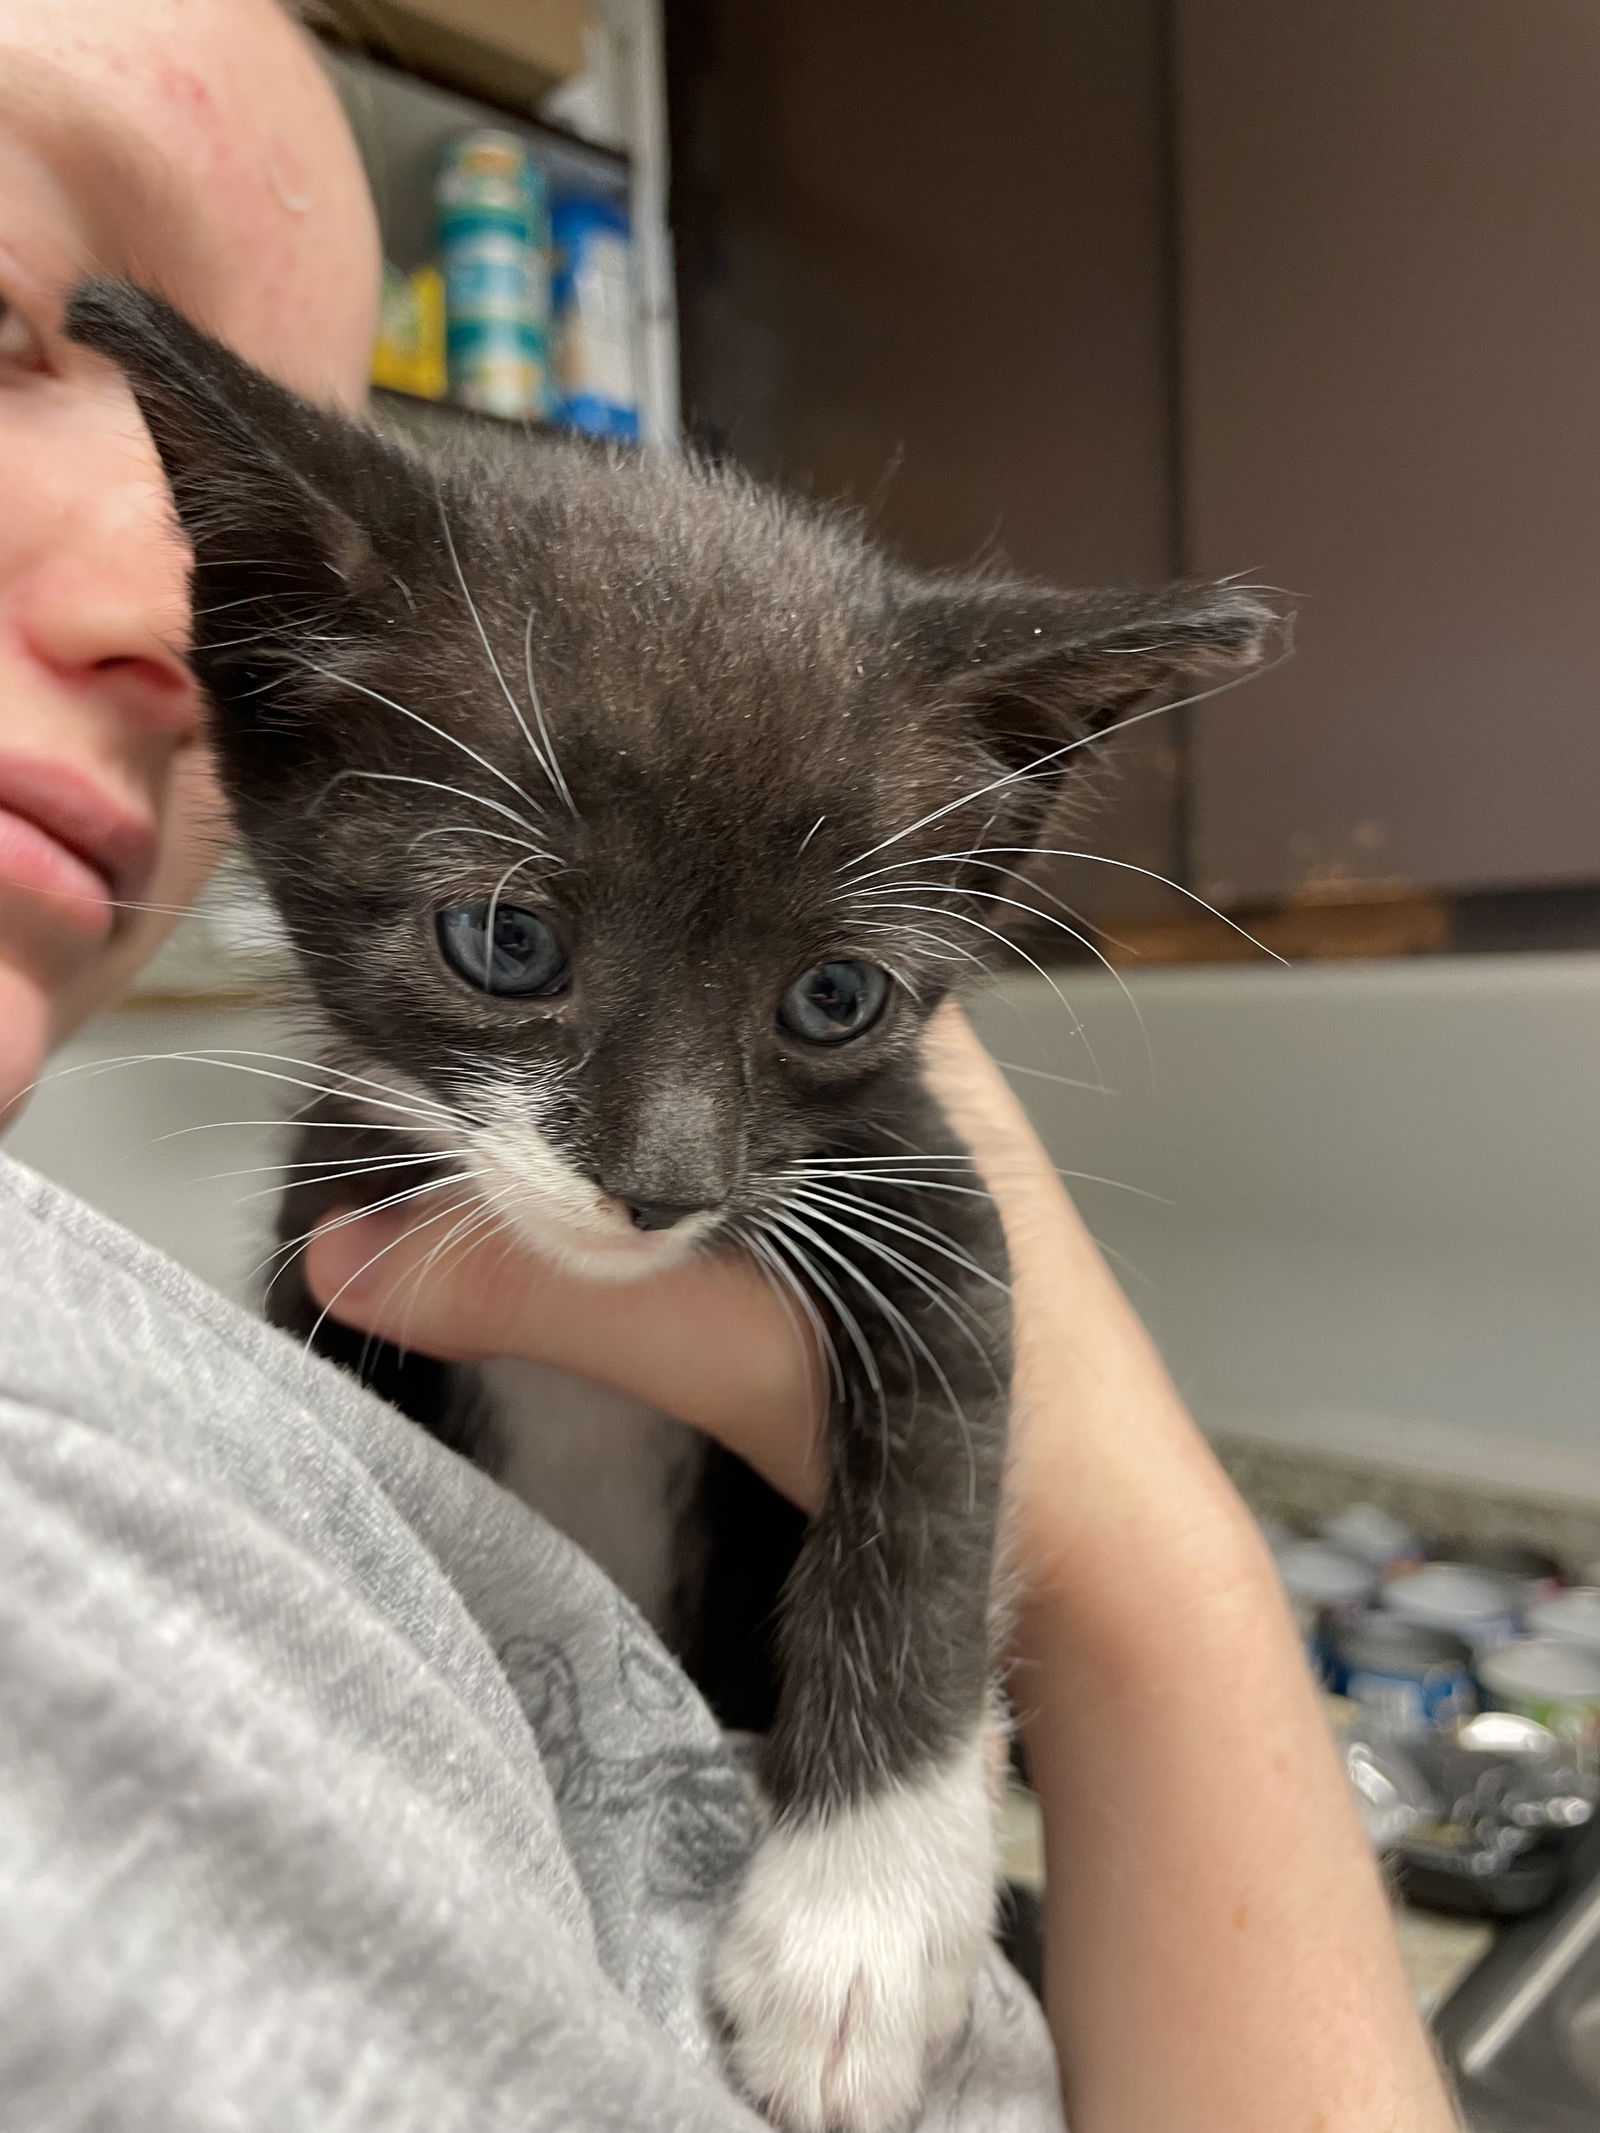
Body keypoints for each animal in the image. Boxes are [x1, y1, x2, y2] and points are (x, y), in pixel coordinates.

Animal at [68, 283, 1280, 2133]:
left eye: (836, 997)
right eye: (507, 940)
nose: (665, 1183)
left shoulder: (920, 1206)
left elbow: (934, 1518)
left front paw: (857, 1937)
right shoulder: (331, 1220)